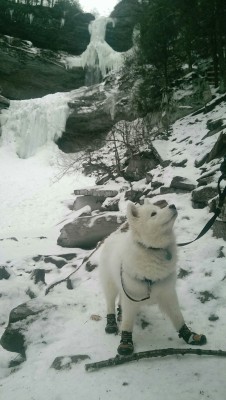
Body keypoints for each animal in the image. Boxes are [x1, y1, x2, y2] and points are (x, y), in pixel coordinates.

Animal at [99, 200, 207, 356]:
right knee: (110, 304)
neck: (153, 250)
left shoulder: (168, 293)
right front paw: (125, 342)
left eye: (158, 208)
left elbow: (178, 316)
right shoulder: (131, 297)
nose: (172, 205)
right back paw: (111, 323)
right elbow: (127, 322)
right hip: (110, 285)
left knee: (119, 301)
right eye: (153, 214)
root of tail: (111, 236)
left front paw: (189, 336)